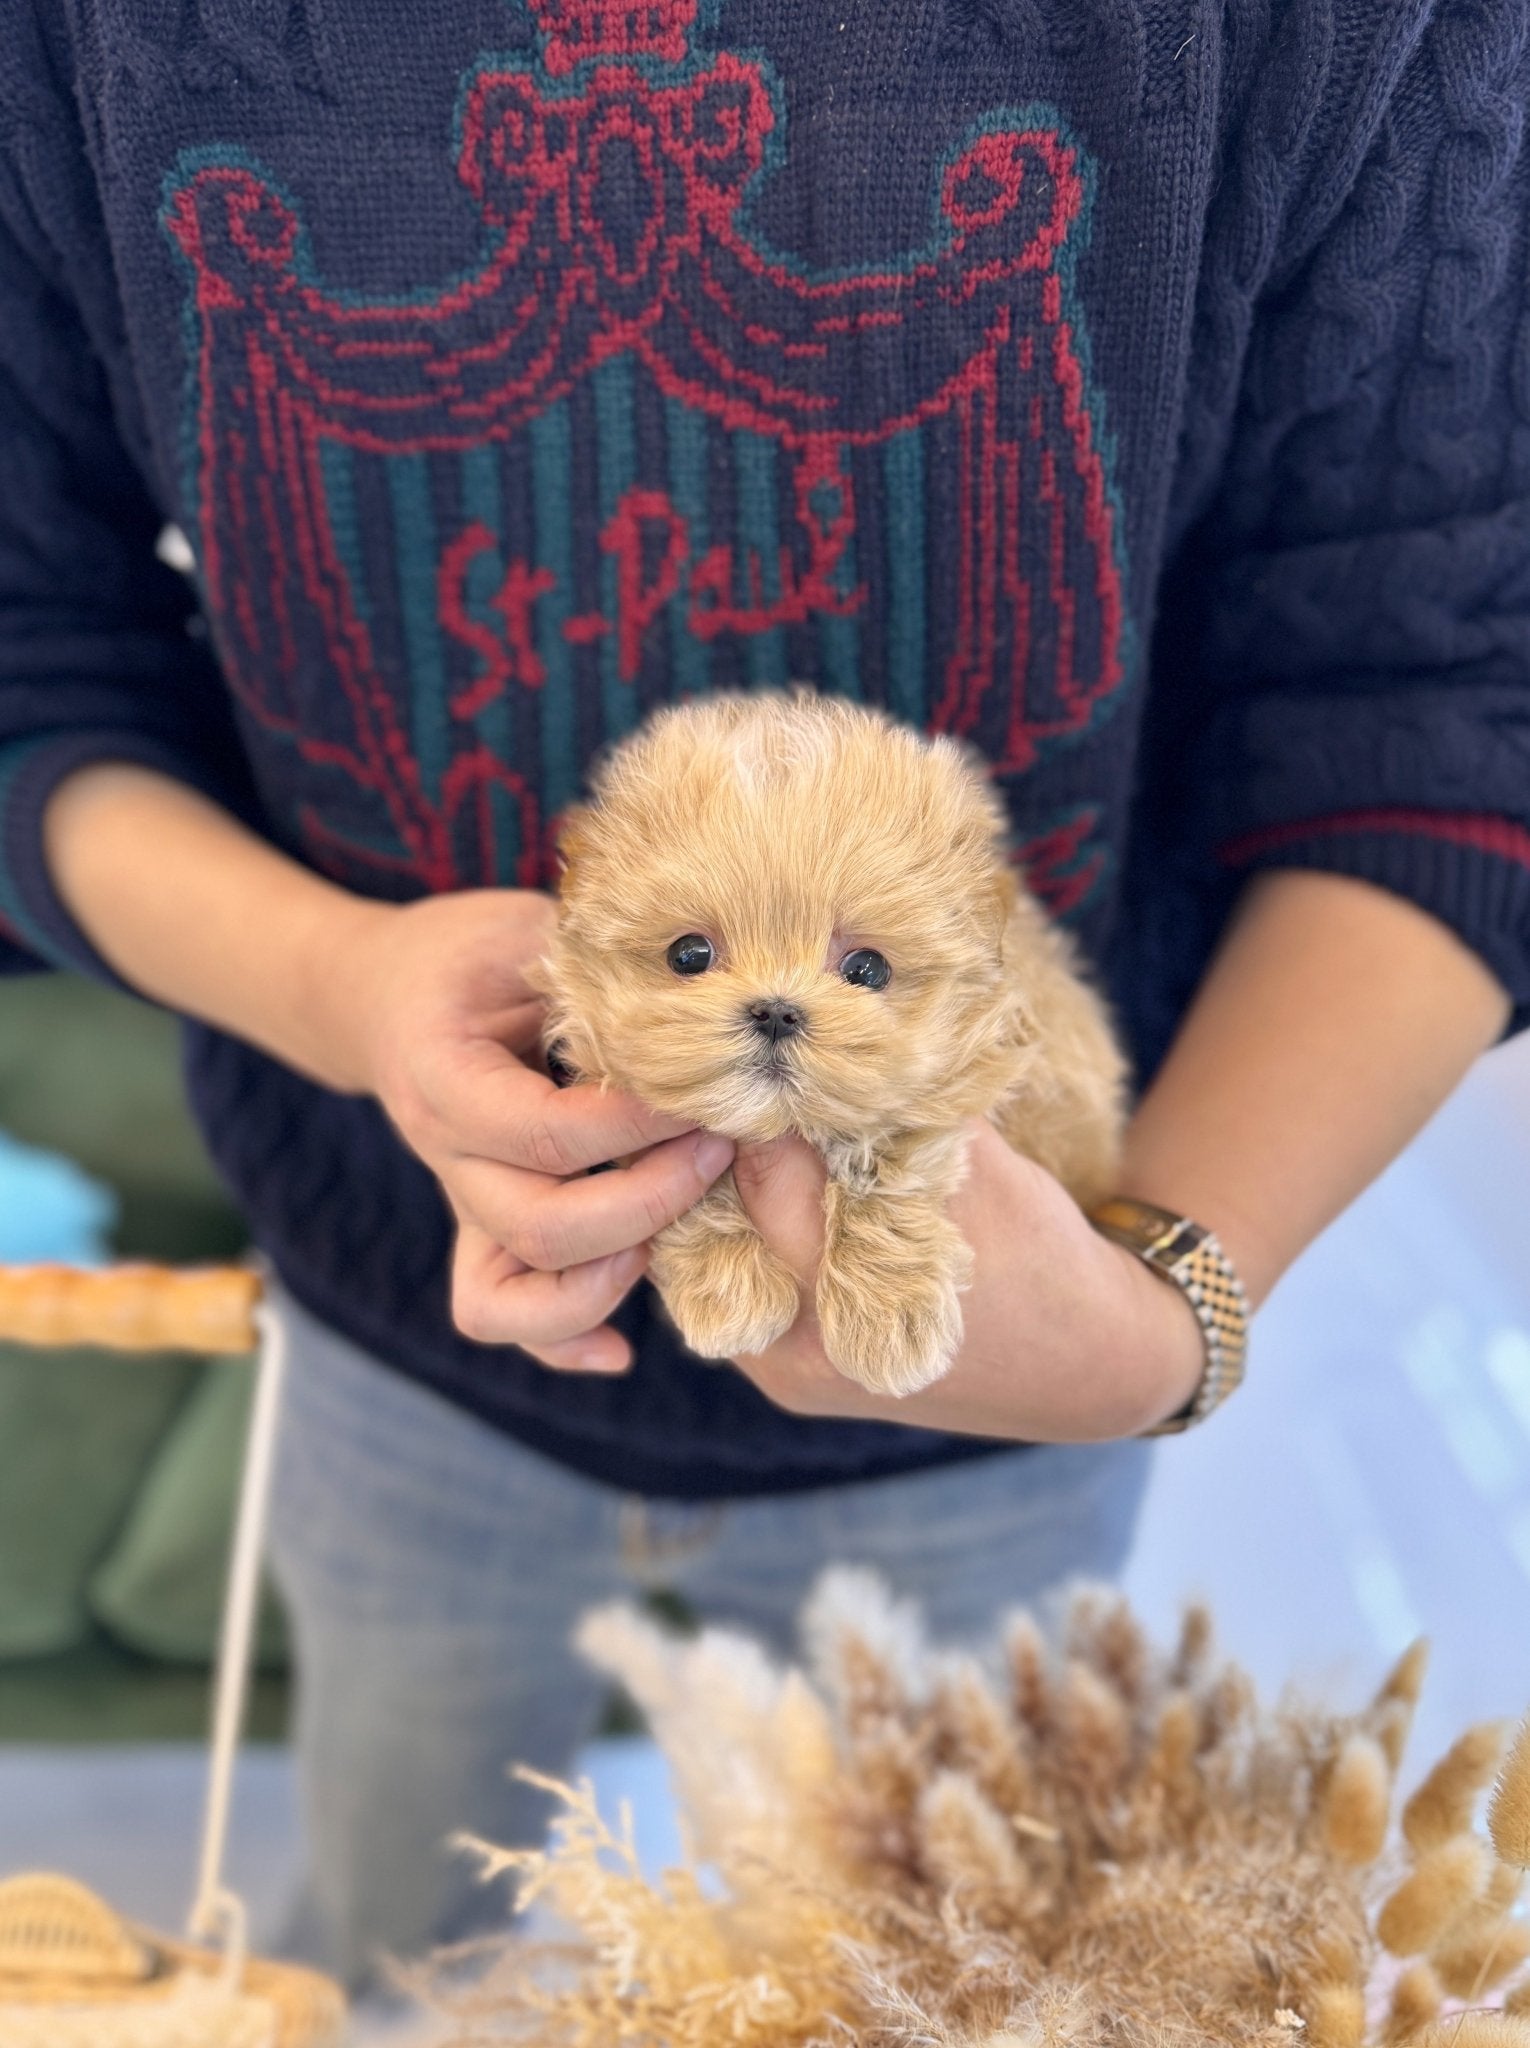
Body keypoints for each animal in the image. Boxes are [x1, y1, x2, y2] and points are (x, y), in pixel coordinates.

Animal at [536, 696, 1122, 1400]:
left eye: (867, 969)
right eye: (689, 954)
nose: (776, 1010)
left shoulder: (956, 1081)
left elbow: (884, 1166)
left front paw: (888, 1316)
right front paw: (727, 1287)